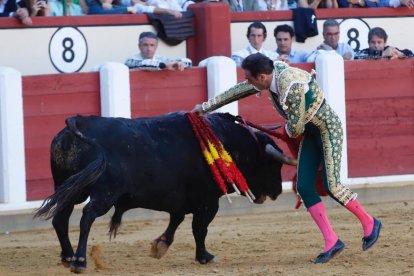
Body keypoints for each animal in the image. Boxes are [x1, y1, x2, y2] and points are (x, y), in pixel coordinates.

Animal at [34, 111, 294, 272]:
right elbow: (199, 229)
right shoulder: (207, 201)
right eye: (274, 165)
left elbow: (176, 221)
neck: (227, 142)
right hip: (103, 193)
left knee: (60, 219)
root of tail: (76, 123)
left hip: (68, 187)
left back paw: (68, 257)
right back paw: (80, 261)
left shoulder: (179, 200)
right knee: (86, 216)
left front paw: (160, 246)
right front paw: (205, 257)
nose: (277, 191)